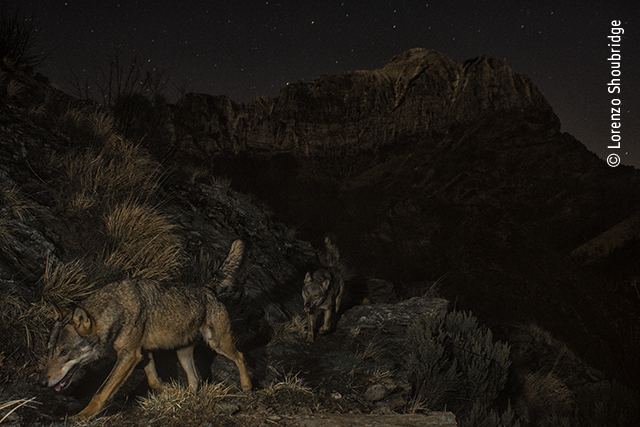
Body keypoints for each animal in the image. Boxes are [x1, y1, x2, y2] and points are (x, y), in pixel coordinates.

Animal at [38, 240, 251, 421]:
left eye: (64, 352)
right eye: (50, 350)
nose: (42, 383)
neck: (115, 310)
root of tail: (207, 288)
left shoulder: (129, 355)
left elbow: (101, 392)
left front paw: (82, 416)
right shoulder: (143, 353)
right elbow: (153, 381)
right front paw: (170, 391)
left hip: (218, 344)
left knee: (240, 356)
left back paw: (247, 386)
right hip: (182, 353)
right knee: (195, 379)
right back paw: (188, 398)